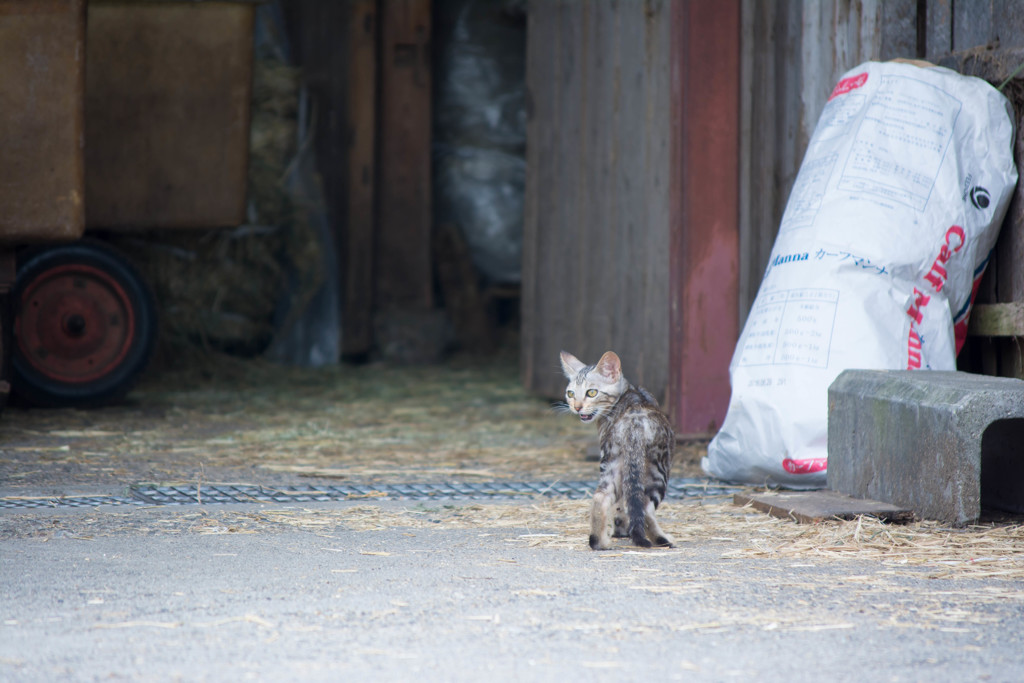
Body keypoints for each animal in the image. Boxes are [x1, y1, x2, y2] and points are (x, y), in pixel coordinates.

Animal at [561, 352, 671, 548]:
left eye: (591, 392)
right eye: (571, 393)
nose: (577, 406)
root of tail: (634, 421)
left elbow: (621, 505)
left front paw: (620, 529)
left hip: (612, 462)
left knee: (601, 496)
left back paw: (599, 542)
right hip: (659, 467)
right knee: (646, 508)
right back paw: (661, 540)